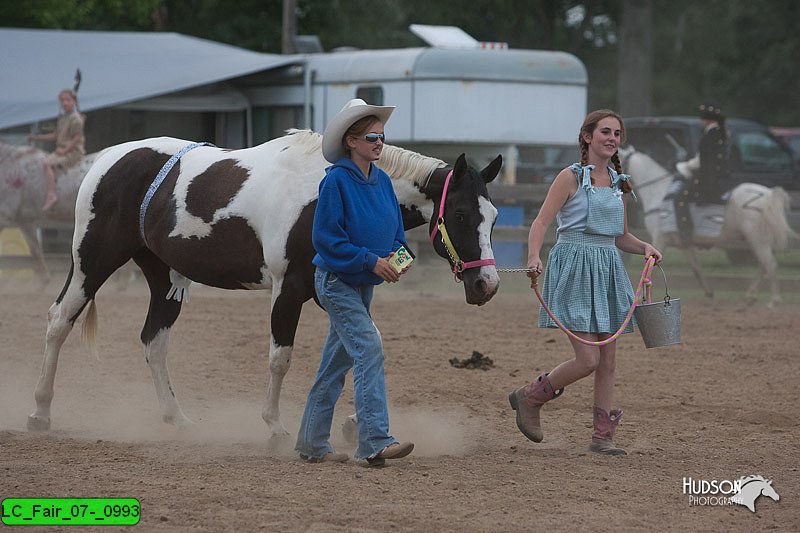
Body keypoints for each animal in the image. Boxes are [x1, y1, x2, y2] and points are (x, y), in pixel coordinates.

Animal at [28, 130, 500, 440]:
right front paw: (274, 426)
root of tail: (108, 158)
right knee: (58, 322)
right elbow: (281, 358)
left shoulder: (329, 291)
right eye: (460, 215)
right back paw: (40, 412)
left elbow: (360, 348)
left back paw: (176, 419)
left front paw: (352, 423)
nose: (486, 284)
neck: (327, 189)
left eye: (494, 217)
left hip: (164, 278)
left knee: (153, 341)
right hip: (91, 263)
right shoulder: (287, 289)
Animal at [628, 148, 796, 308]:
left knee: (770, 265)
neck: (658, 193)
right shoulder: (685, 245)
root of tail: (769, 194)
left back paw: (773, 301)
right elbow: (697, 269)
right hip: (759, 240)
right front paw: (709, 295)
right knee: (764, 266)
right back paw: (751, 296)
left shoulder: (660, 239)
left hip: (758, 240)